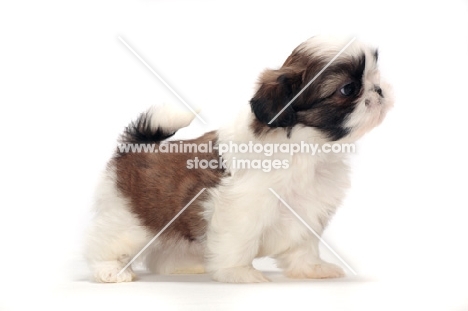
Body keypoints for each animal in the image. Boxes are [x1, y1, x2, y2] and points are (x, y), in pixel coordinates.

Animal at [84, 35, 392, 284]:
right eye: (348, 89)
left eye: (374, 76)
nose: (379, 90)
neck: (305, 148)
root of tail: (137, 146)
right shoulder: (242, 206)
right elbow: (238, 240)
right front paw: (238, 273)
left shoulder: (307, 209)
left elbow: (303, 244)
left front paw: (311, 268)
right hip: (127, 216)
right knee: (108, 242)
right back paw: (110, 270)